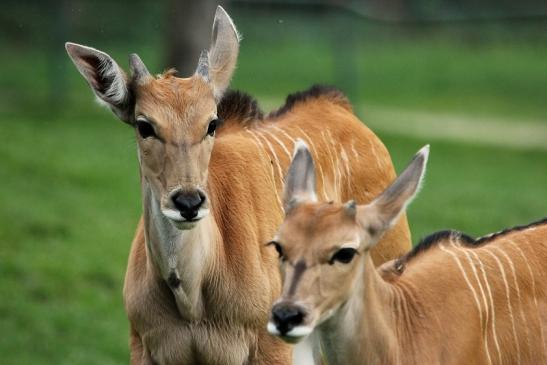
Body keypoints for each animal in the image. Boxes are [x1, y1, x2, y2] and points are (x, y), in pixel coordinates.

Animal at [66, 5, 414, 364]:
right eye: (144, 125)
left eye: (211, 123)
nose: (188, 202)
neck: (192, 299)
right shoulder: (143, 345)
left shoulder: (271, 345)